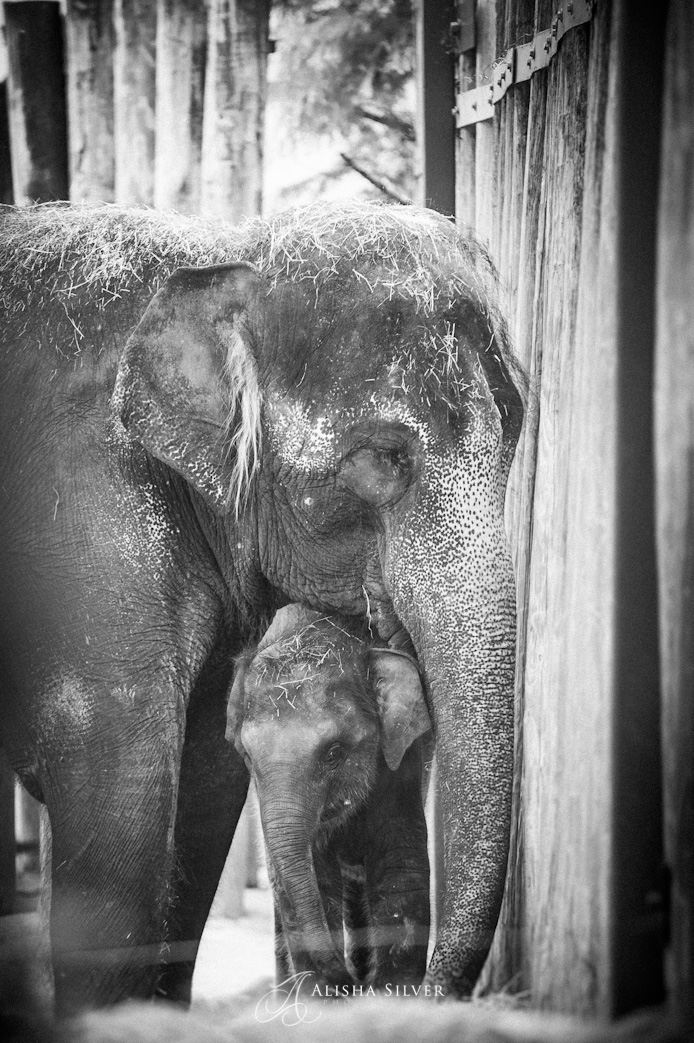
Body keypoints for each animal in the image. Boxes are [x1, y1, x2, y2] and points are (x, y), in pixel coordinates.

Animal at [227, 604, 429, 984]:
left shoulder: (403, 764)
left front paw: (390, 990)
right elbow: (315, 882)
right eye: (246, 755)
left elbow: (400, 870)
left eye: (334, 753)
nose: (348, 981)